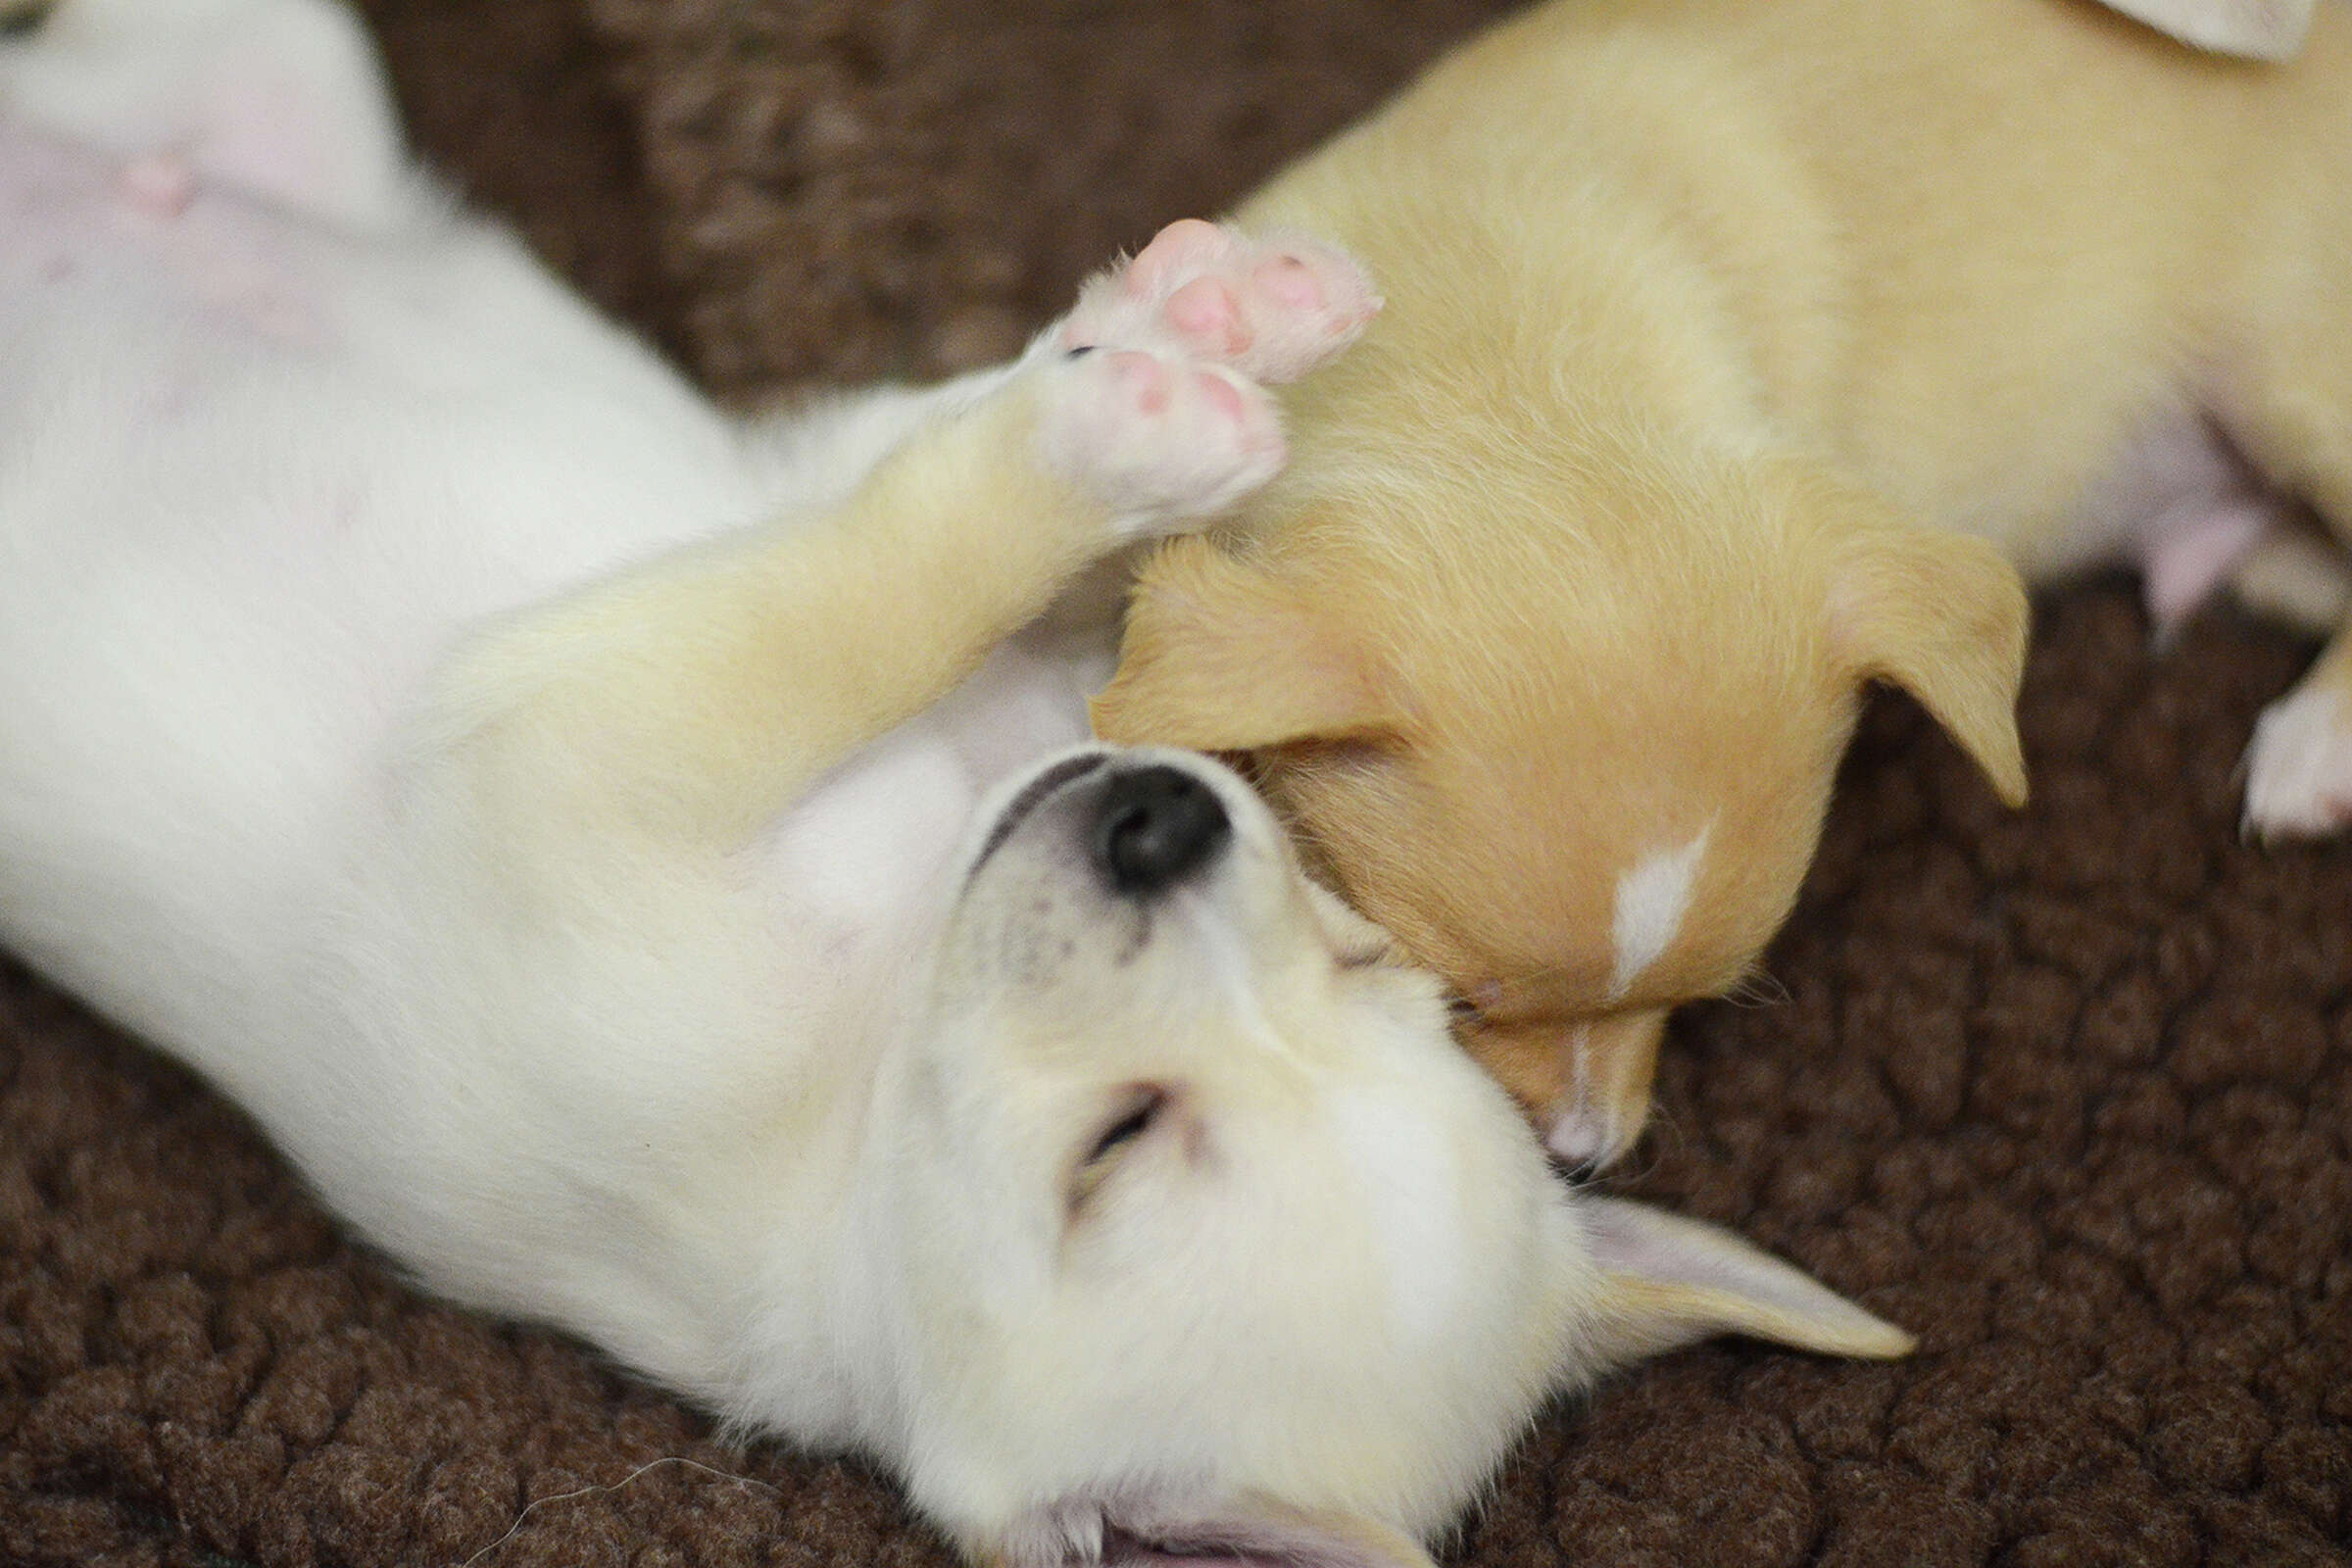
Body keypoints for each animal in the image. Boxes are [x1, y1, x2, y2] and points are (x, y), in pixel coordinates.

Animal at [1096, 0, 2352, 1170]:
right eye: (1460, 1000)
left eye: (1701, 1005)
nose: (1587, 1157)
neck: (1511, 358)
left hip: (2290, 383)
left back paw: (2314, 746)